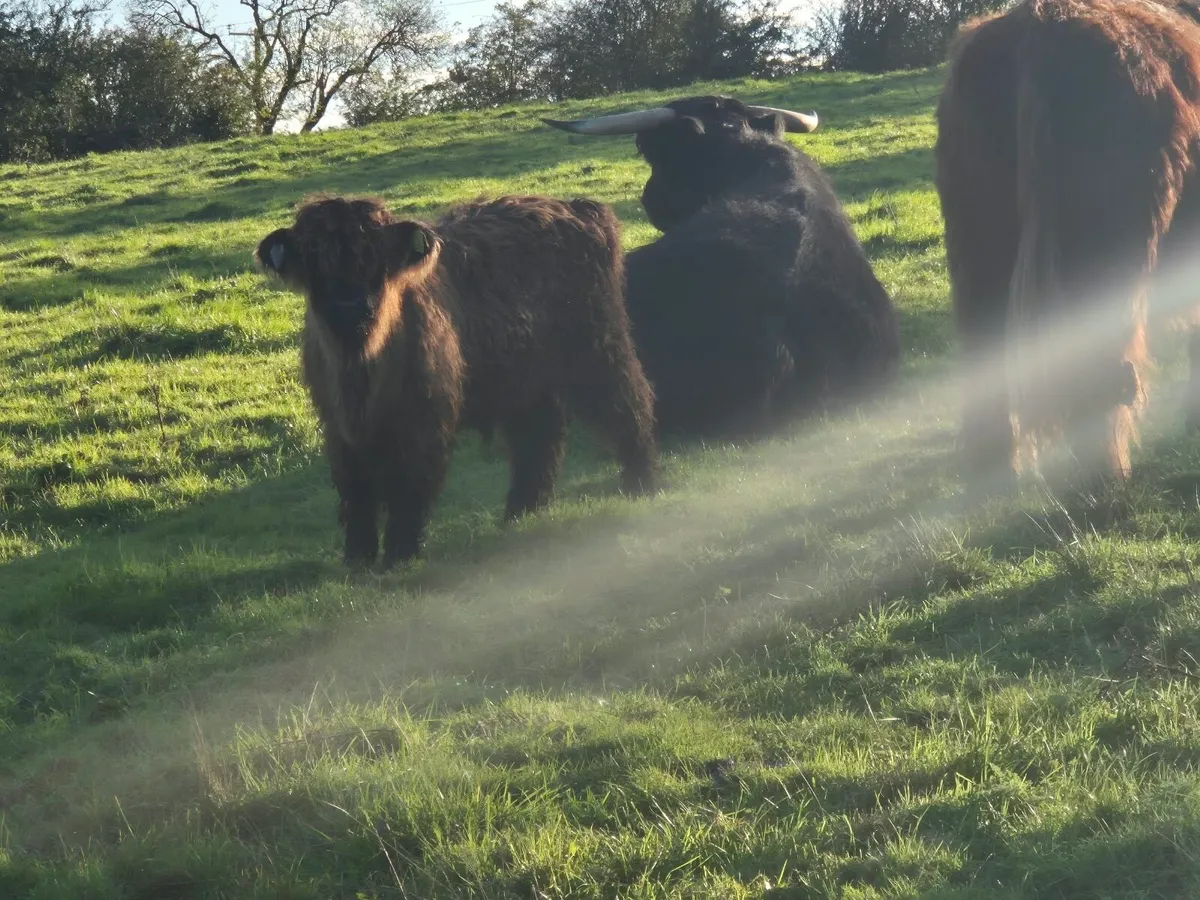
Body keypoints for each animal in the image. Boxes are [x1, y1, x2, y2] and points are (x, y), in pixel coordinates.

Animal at [255, 193, 659, 569]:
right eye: (314, 258)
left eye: (376, 260)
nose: (350, 307)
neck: (361, 373)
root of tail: (577, 207)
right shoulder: (339, 429)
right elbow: (356, 492)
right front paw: (358, 557)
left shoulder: (424, 421)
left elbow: (411, 485)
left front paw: (399, 553)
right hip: (526, 383)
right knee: (538, 440)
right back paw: (521, 512)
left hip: (598, 349)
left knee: (629, 404)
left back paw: (641, 483)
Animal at [935, 0, 1200, 489]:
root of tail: (1040, 24)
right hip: (1109, 246)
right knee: (1104, 368)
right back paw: (1107, 476)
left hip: (975, 238)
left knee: (983, 354)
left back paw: (994, 475)